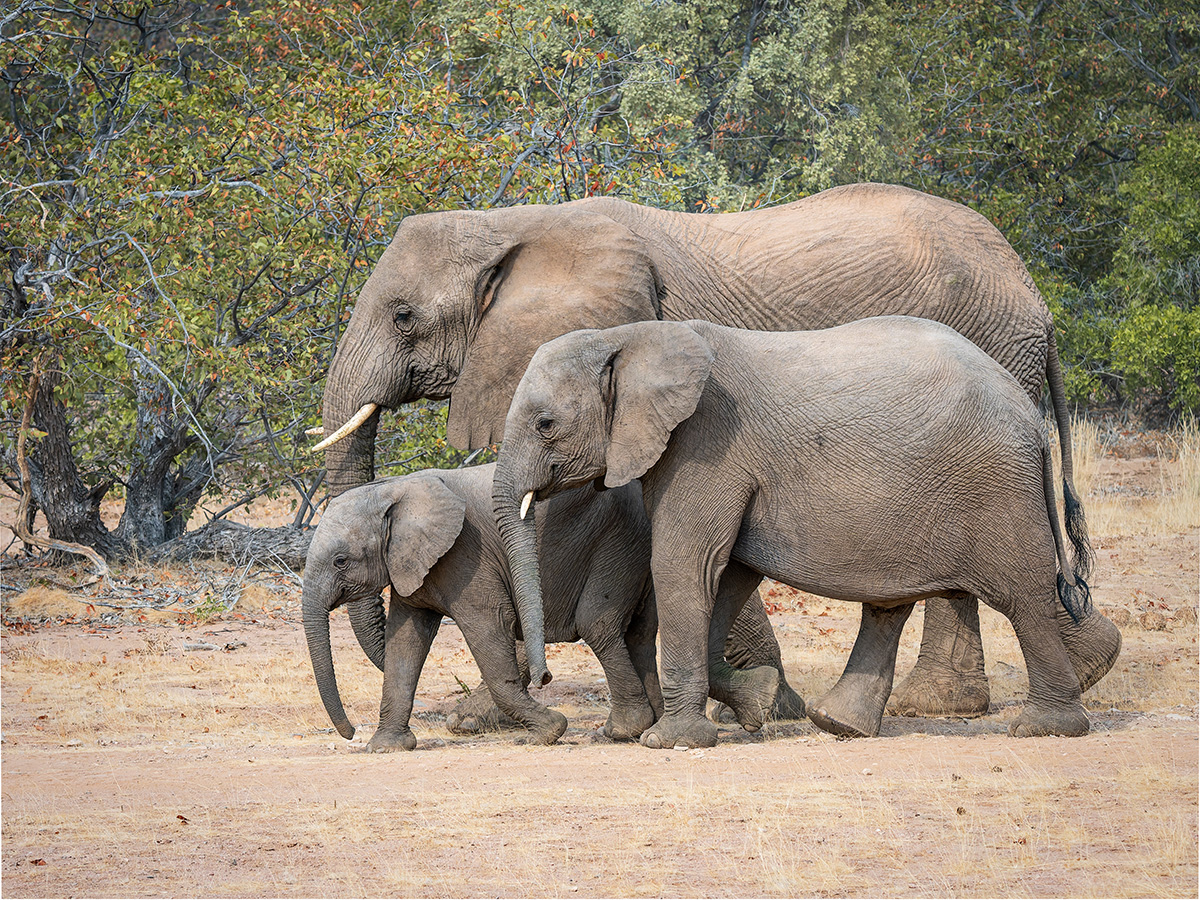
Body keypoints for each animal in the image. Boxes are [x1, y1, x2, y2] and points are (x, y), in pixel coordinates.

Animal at [301, 463, 789, 750]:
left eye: (341, 560)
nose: (349, 733)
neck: (396, 491)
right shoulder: (414, 566)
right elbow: (405, 643)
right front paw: (385, 748)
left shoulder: (467, 559)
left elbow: (488, 632)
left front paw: (550, 730)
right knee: (638, 633)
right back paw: (744, 706)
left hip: (620, 541)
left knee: (600, 624)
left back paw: (626, 730)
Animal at [314, 183, 1098, 720]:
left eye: (404, 316)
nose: (542, 678)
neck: (515, 222)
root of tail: (1039, 300)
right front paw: (763, 699)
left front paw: (759, 701)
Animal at [491, 317, 1122, 750]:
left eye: (545, 424)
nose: (543, 677)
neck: (630, 337)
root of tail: (1031, 414)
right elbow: (728, 575)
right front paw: (758, 702)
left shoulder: (706, 447)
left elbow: (685, 566)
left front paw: (671, 742)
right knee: (888, 604)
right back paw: (838, 724)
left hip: (996, 488)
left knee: (1022, 595)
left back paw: (1046, 729)